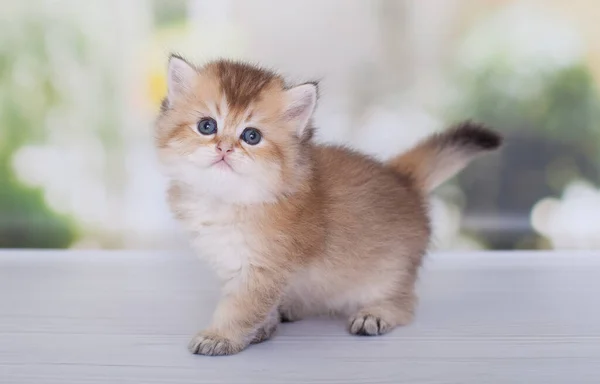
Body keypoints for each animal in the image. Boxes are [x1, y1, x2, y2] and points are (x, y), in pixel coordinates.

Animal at [155, 55, 502, 356]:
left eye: (251, 136)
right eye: (207, 126)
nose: (224, 148)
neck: (231, 199)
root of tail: (401, 178)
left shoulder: (264, 270)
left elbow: (241, 308)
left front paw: (221, 337)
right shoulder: (240, 268)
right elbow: (258, 307)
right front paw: (263, 327)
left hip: (389, 272)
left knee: (406, 303)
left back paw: (376, 314)